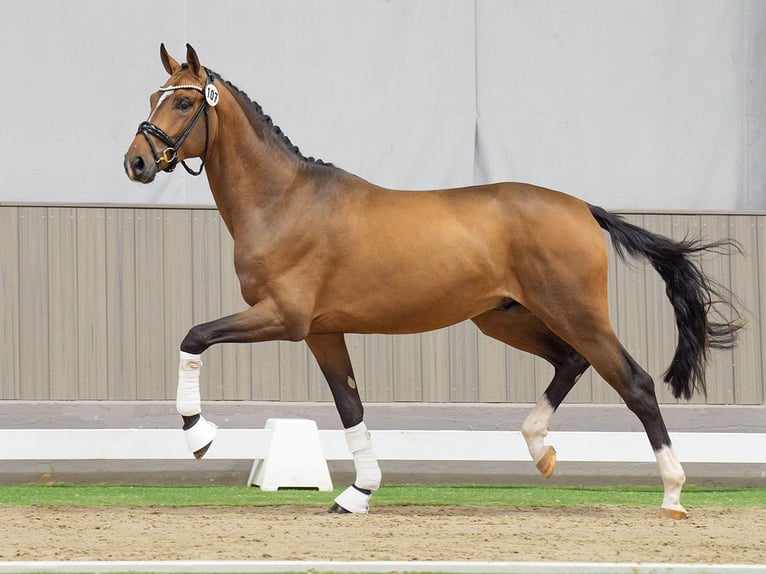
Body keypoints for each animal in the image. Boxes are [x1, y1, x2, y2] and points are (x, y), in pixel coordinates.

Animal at [126, 44, 744, 520]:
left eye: (184, 100)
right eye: (153, 97)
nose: (136, 162)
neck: (284, 201)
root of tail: (584, 209)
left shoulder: (283, 317)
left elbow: (194, 336)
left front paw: (199, 434)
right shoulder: (322, 332)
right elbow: (350, 406)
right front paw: (357, 494)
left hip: (575, 313)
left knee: (634, 383)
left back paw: (672, 494)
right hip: (505, 318)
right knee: (571, 362)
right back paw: (540, 450)